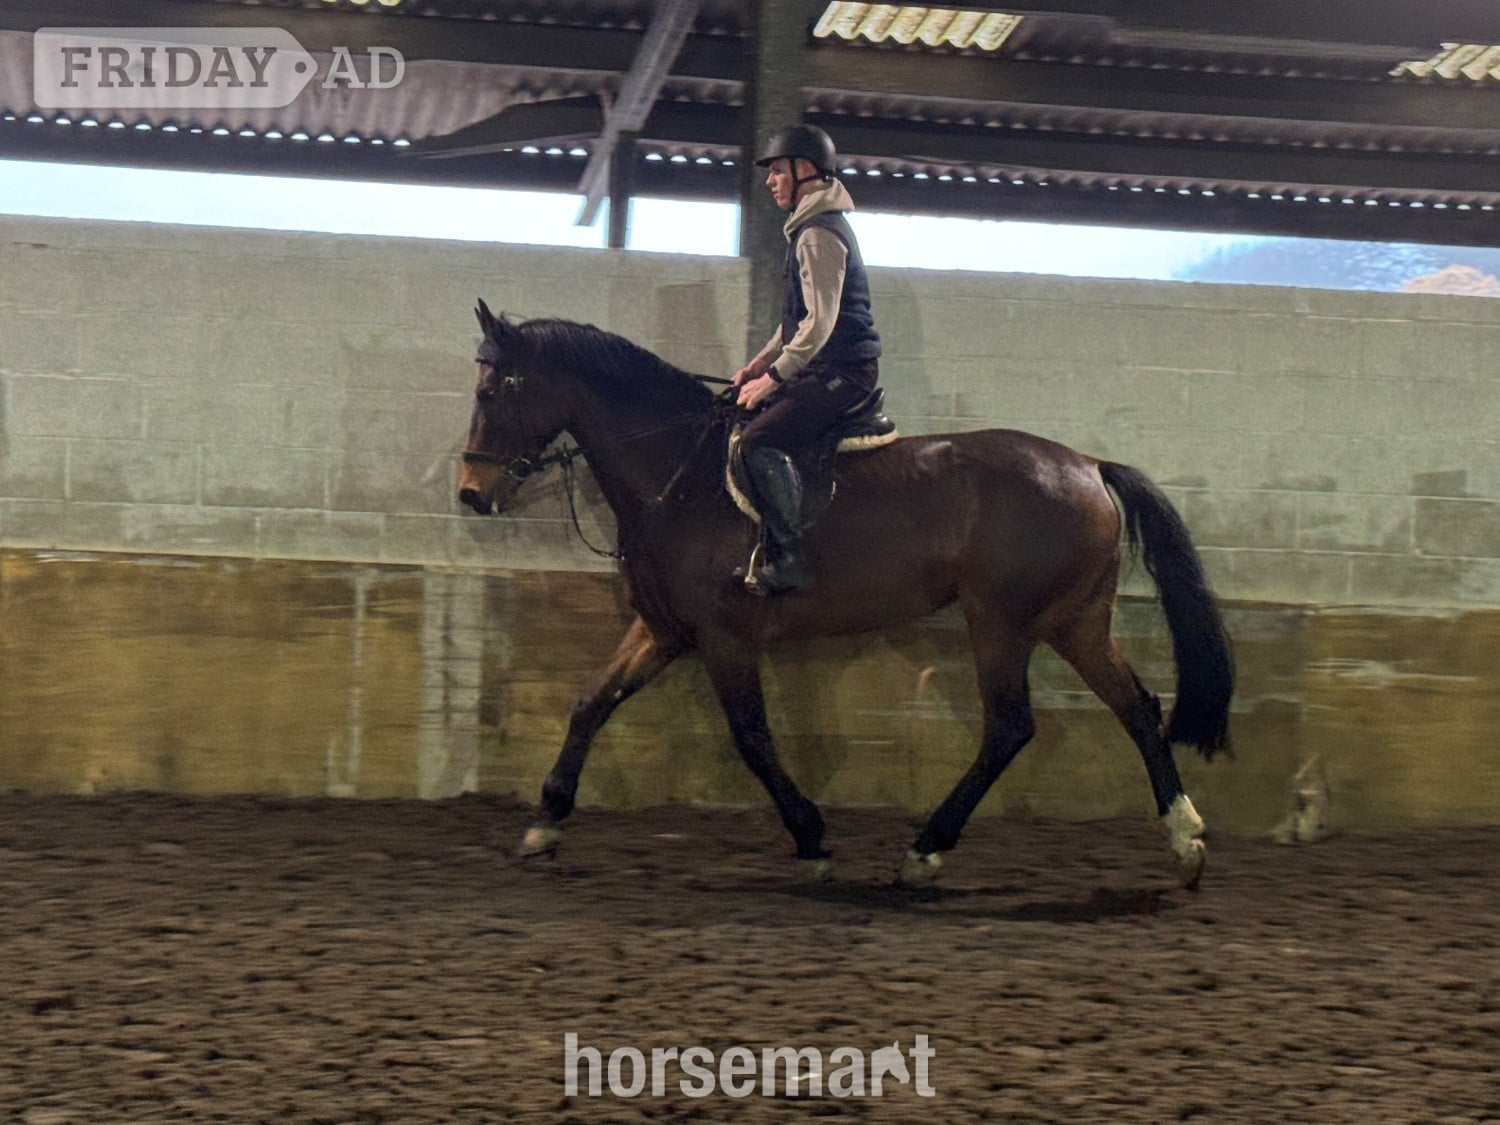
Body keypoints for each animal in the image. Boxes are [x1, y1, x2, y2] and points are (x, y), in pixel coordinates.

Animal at [457, 301, 1234, 888]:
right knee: (1136, 707)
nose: (470, 495)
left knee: (1012, 726)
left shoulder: (723, 637)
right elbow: (591, 703)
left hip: (1001, 620)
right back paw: (1186, 840)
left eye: (492, 392)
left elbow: (751, 736)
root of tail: (1089, 467)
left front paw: (812, 838)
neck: (677, 474)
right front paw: (544, 823)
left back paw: (925, 849)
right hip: (1073, 620)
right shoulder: (664, 629)